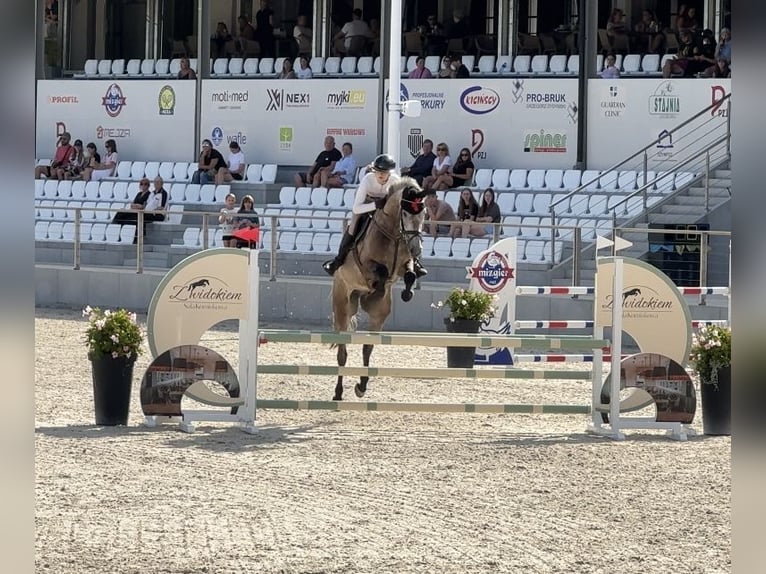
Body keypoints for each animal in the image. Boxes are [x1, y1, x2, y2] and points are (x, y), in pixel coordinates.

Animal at [330, 176, 428, 401]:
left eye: (423, 214)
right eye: (405, 213)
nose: (417, 249)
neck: (393, 234)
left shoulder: (405, 264)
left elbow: (410, 274)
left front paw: (407, 293)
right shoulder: (366, 265)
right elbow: (380, 271)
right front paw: (379, 285)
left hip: (378, 315)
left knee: (368, 347)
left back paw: (362, 386)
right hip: (342, 303)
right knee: (342, 351)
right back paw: (338, 392)